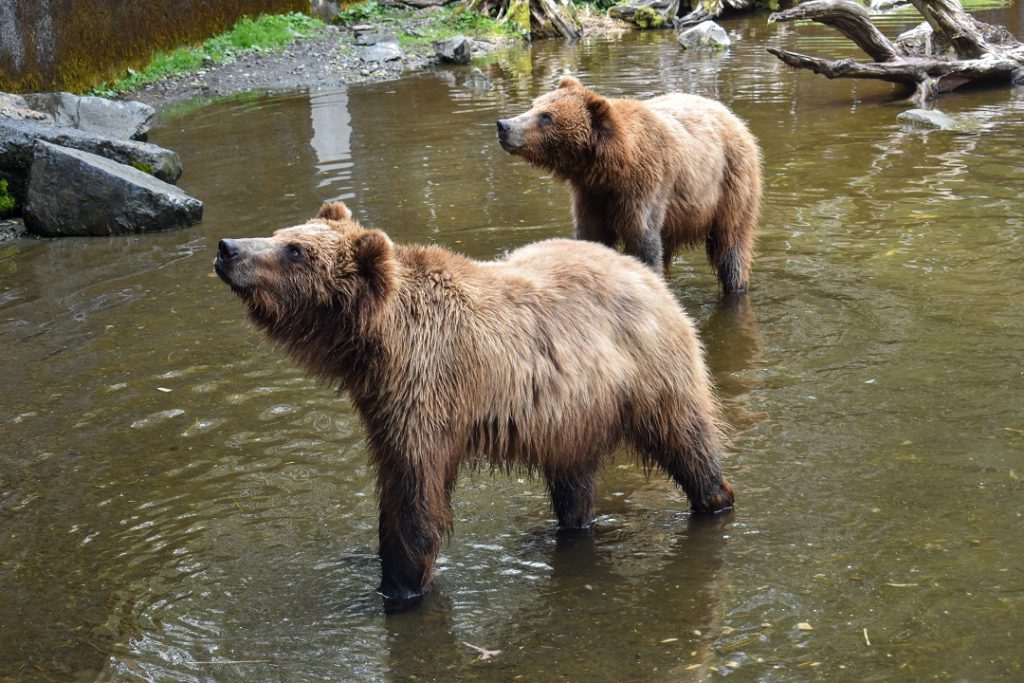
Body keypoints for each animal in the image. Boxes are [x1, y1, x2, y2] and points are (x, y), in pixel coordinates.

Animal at [211, 200, 733, 610]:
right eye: (282, 233)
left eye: (294, 251)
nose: (227, 247)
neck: (380, 344)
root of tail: (648, 275)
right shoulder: (382, 402)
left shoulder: (427, 392)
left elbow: (415, 495)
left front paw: (397, 588)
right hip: (573, 414)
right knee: (574, 480)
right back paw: (564, 528)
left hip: (649, 373)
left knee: (687, 441)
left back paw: (714, 498)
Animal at [495, 76, 761, 294]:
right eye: (533, 105)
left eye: (546, 116)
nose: (504, 125)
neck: (611, 168)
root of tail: (729, 113)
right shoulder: (590, 195)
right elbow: (593, 234)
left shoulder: (645, 186)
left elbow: (643, 240)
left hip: (731, 182)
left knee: (732, 244)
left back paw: (736, 285)